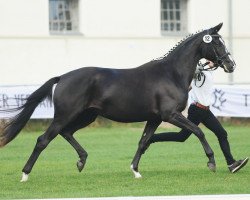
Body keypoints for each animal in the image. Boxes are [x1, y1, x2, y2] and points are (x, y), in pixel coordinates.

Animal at [0, 23, 235, 181]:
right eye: (216, 42)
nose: (231, 64)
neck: (171, 73)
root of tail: (63, 77)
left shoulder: (155, 119)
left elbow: (143, 142)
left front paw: (135, 171)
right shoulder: (170, 115)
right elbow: (199, 131)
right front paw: (212, 162)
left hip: (87, 115)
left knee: (67, 133)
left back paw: (81, 161)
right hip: (65, 115)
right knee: (44, 139)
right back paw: (25, 175)